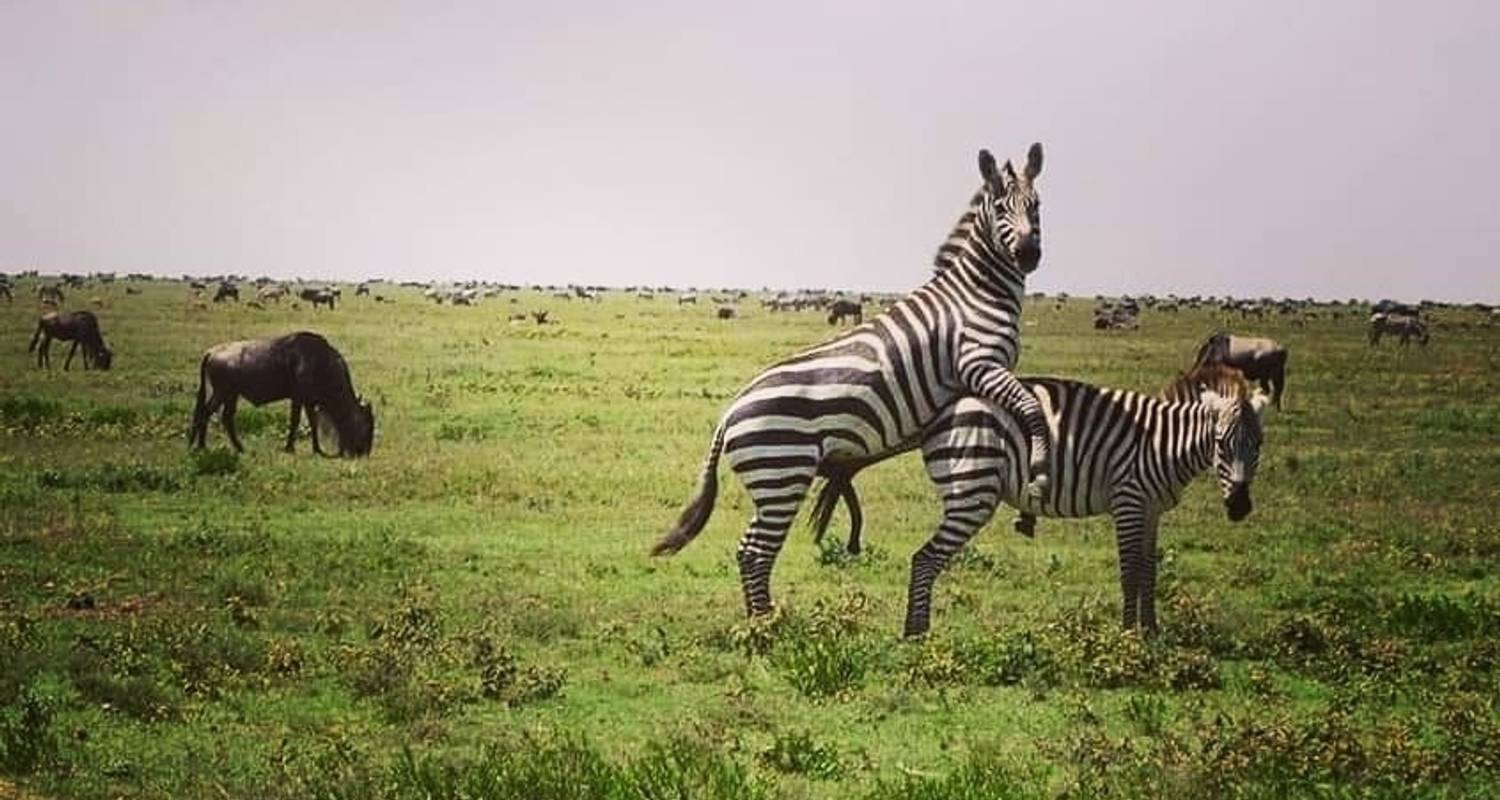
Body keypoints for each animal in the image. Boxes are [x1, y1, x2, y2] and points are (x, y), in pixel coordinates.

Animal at [651, 144, 1050, 624]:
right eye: (1000, 207)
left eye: (1036, 205)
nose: (1028, 253)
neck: (979, 292)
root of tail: (729, 414)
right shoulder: (980, 364)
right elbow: (1030, 409)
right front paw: (1039, 475)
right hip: (782, 473)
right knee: (756, 553)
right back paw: (768, 629)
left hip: (774, 481)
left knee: (749, 551)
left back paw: (760, 623)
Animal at [810, 363, 1266, 636]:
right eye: (1221, 444)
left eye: (1258, 444)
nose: (1240, 508)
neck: (1163, 443)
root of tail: (943, 412)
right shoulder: (1128, 501)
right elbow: (1129, 572)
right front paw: (1127, 634)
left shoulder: (1152, 510)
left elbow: (1149, 571)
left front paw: (1150, 631)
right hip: (974, 491)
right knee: (925, 558)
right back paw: (916, 633)